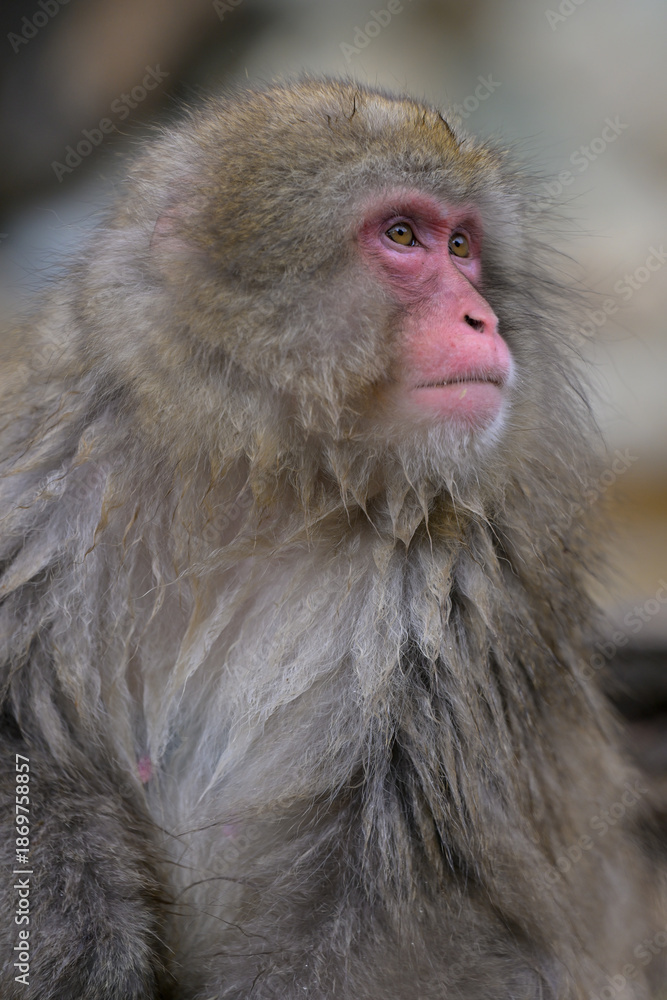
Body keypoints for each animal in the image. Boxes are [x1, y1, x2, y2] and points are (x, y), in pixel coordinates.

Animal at [0, 77, 659, 1000]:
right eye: (402, 235)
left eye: (462, 245)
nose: (482, 318)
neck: (266, 480)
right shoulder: (41, 489)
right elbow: (22, 752)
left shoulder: (467, 587)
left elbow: (422, 920)